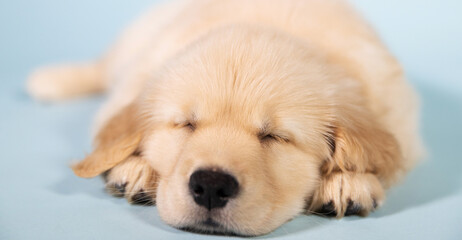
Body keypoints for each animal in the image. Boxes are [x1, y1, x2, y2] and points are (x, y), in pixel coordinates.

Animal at [27, 0, 424, 236]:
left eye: (275, 137)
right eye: (186, 124)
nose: (211, 186)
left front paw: (347, 182)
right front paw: (135, 167)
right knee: (101, 67)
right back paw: (51, 79)